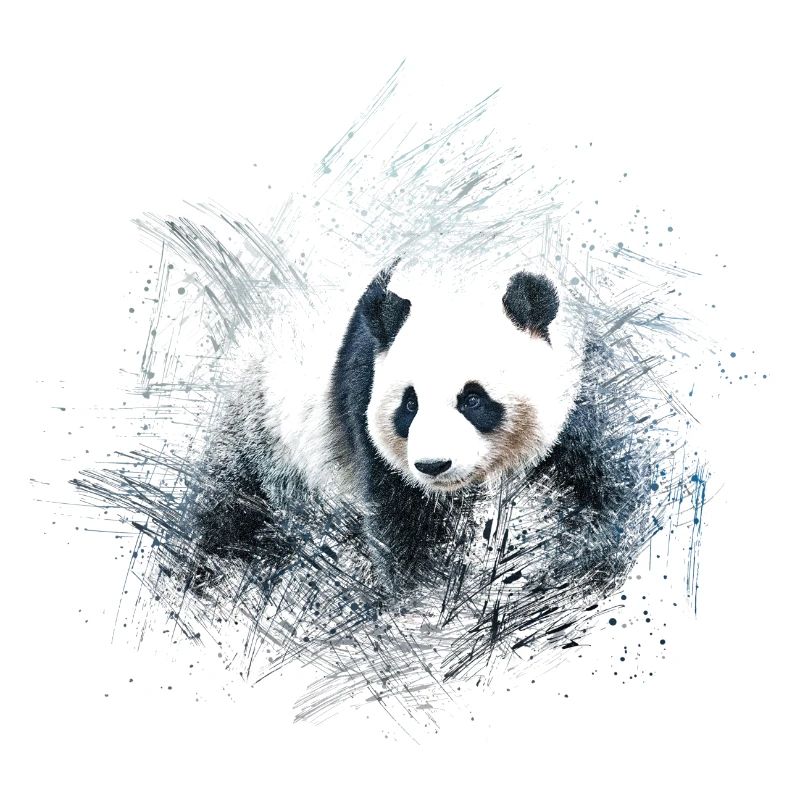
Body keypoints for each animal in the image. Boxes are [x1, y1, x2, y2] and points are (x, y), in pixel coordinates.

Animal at [191, 261, 602, 595]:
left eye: (472, 399)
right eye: (410, 404)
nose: (433, 465)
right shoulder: (364, 394)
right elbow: (404, 520)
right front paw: (421, 598)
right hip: (262, 428)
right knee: (231, 511)